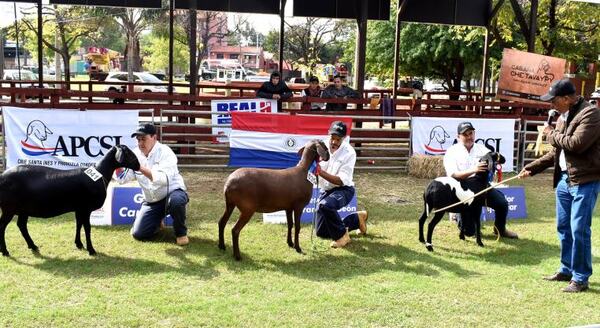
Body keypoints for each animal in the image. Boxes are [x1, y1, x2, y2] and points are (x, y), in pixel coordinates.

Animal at [0, 145, 139, 256]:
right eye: (128, 153)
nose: (138, 165)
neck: (99, 175)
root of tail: (2, 176)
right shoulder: (86, 208)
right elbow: (87, 228)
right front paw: (91, 250)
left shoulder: (79, 208)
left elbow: (78, 225)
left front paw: (79, 244)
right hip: (9, 208)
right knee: (3, 226)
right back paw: (5, 251)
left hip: (23, 208)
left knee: (21, 225)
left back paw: (32, 246)